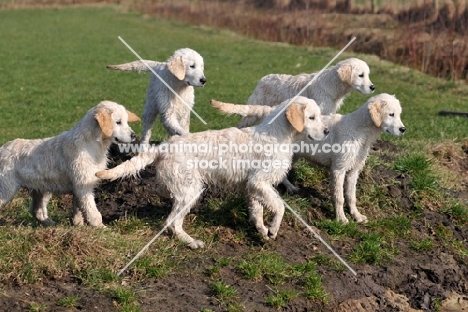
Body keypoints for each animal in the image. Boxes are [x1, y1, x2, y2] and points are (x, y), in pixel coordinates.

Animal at [0, 101, 140, 225]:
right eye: (118, 122)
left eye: (126, 121)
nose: (134, 135)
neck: (91, 144)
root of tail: (2, 149)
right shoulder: (83, 184)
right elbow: (92, 212)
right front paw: (101, 228)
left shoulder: (79, 184)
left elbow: (78, 208)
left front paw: (78, 224)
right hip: (7, 189)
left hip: (42, 189)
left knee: (37, 211)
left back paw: (51, 224)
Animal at [96, 97, 328, 249]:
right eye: (312, 117)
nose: (327, 131)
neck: (278, 134)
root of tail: (164, 146)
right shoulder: (260, 181)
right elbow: (279, 207)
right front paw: (273, 229)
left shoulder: (253, 186)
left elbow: (257, 211)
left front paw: (262, 230)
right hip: (190, 192)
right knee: (171, 222)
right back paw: (192, 242)